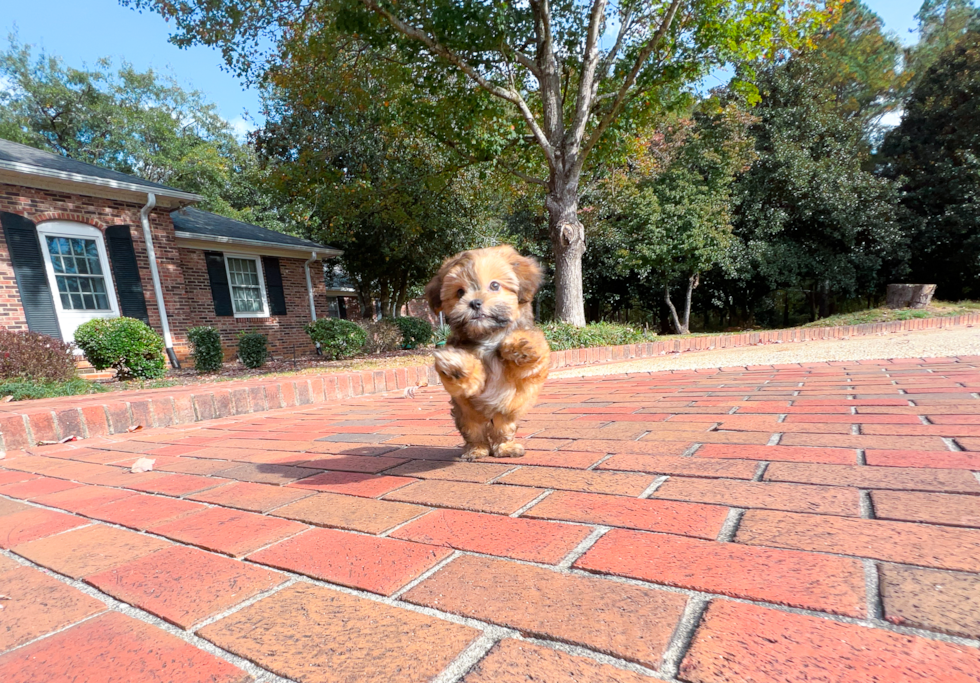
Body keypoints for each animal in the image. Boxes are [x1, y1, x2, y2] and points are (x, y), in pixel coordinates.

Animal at [426, 244, 556, 460]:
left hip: (505, 412)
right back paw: (476, 450)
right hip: (467, 415)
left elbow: (532, 353)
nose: (475, 303)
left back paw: (505, 448)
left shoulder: (526, 376)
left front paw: (520, 345)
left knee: (502, 430)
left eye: (495, 285)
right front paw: (457, 367)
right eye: (460, 292)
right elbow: (464, 379)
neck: (488, 337)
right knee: (475, 432)